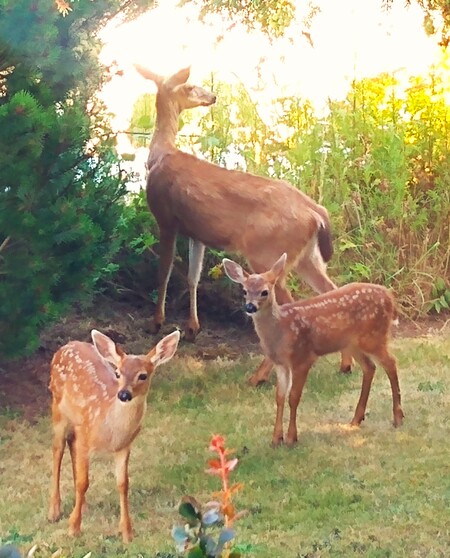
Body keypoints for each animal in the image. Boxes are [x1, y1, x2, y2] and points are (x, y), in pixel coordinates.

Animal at [46, 330, 179, 544]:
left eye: (143, 375)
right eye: (117, 373)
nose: (123, 394)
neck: (112, 430)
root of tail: (65, 346)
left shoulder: (124, 446)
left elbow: (123, 484)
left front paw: (127, 532)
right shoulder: (86, 436)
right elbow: (84, 482)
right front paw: (73, 528)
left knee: (71, 446)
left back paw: (83, 507)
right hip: (57, 409)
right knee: (57, 450)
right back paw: (54, 512)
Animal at [135, 64, 354, 384]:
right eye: (191, 87)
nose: (212, 96)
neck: (160, 155)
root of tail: (316, 212)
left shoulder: (165, 218)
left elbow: (163, 272)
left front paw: (156, 322)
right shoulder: (196, 232)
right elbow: (192, 276)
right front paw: (192, 328)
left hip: (268, 253)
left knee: (282, 304)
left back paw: (259, 376)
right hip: (308, 256)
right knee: (331, 290)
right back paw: (346, 363)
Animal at [223, 256, 402, 448]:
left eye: (264, 292)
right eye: (244, 291)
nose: (250, 307)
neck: (281, 330)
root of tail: (390, 296)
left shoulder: (303, 357)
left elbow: (294, 397)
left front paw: (291, 438)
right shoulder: (281, 364)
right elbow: (279, 397)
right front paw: (276, 439)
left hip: (374, 337)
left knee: (391, 363)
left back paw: (398, 417)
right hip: (352, 344)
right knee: (370, 367)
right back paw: (356, 419)